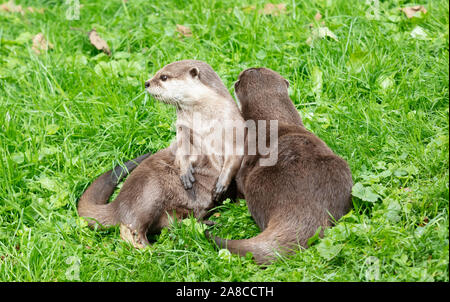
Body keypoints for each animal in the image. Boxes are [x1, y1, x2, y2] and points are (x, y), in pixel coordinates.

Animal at [78, 60, 244, 249]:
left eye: (163, 77)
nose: (146, 83)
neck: (205, 120)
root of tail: (119, 203)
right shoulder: (183, 128)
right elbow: (183, 151)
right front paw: (185, 171)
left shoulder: (234, 125)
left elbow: (235, 156)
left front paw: (221, 184)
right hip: (150, 193)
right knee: (132, 227)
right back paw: (151, 248)